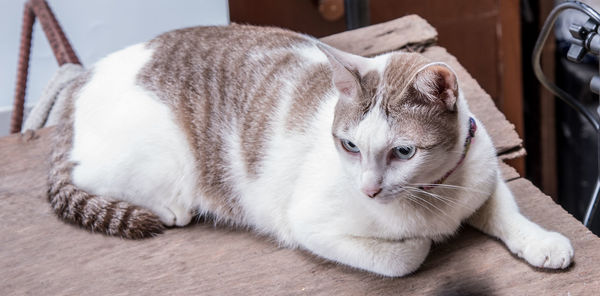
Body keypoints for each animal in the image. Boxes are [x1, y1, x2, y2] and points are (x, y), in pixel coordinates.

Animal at [45, 24, 572, 276]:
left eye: (403, 152)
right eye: (350, 146)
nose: (369, 190)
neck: (434, 195)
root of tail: (82, 78)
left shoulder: (482, 175)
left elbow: (507, 213)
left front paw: (541, 241)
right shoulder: (311, 225)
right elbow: (409, 254)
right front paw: (423, 240)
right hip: (158, 161)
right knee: (92, 176)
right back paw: (174, 207)